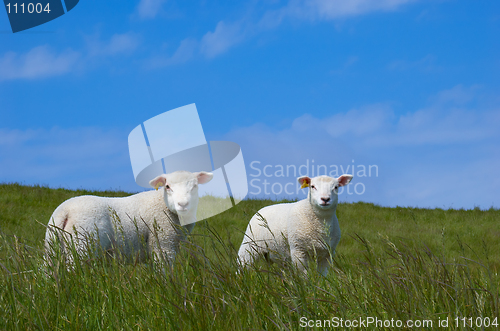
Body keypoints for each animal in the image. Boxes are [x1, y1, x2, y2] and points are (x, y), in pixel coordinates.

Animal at [44, 171, 213, 268]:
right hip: (81, 245)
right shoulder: (163, 245)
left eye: (195, 186)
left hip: (52, 246)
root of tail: (65, 211)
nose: (183, 204)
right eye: (167, 186)